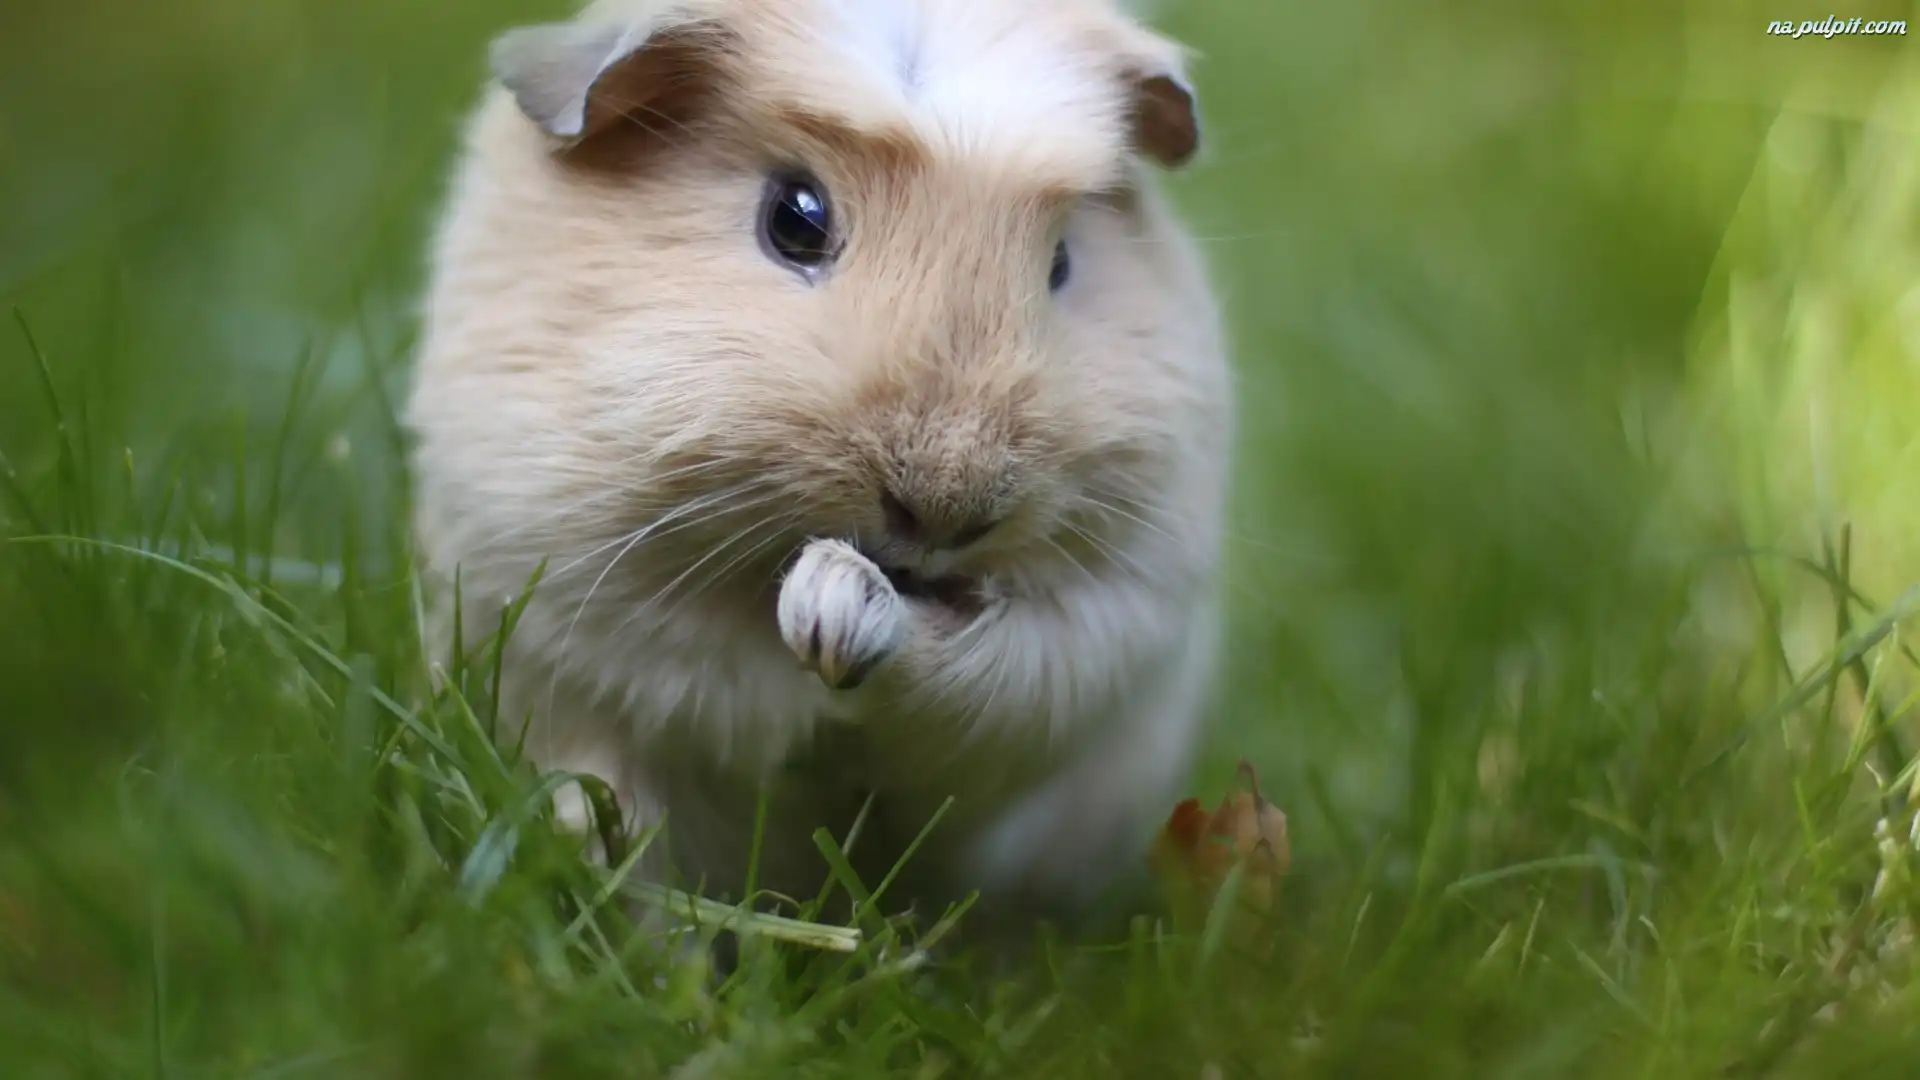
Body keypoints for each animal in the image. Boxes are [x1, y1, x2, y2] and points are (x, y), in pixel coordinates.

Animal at [404, 0, 1235, 948]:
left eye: (1062, 259)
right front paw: (828, 613)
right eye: (794, 219)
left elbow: (980, 669)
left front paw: (839, 613)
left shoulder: (1108, 618)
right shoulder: (591, 590)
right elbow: (740, 680)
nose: (946, 509)